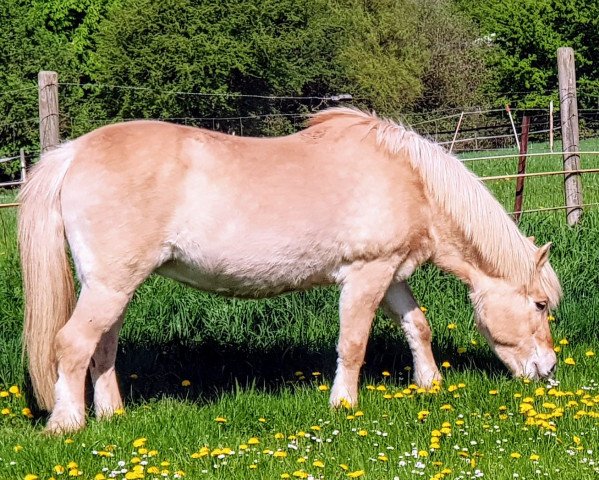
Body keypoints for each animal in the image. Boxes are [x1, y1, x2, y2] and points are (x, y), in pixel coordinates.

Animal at [18, 107, 564, 434]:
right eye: (539, 304)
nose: (548, 371)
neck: (409, 179)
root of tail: (73, 153)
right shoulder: (366, 275)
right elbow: (353, 343)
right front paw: (344, 405)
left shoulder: (391, 274)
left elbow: (418, 325)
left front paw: (428, 384)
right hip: (110, 285)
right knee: (72, 344)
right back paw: (68, 424)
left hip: (113, 287)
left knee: (102, 348)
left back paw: (113, 415)